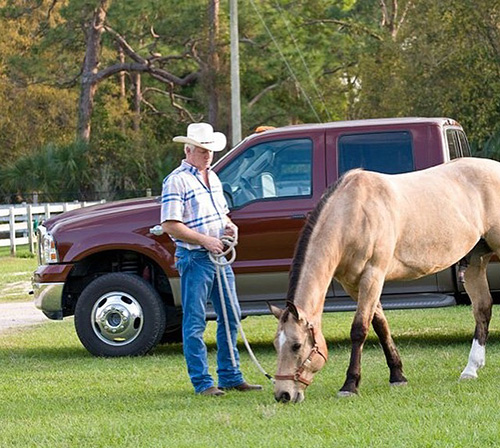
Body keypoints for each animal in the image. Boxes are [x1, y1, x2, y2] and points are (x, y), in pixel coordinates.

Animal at [270, 158, 500, 402]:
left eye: (296, 345)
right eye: (276, 344)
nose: (283, 394)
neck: (353, 212)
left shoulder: (373, 275)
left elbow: (359, 329)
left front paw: (350, 385)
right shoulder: (354, 284)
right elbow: (380, 326)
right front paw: (397, 375)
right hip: (476, 260)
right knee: (482, 309)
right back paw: (470, 370)